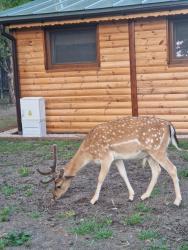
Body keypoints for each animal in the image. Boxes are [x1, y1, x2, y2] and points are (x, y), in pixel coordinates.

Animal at [37, 116, 185, 206]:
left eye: (58, 185)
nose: (54, 197)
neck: (89, 152)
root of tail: (170, 125)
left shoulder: (106, 157)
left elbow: (100, 178)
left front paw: (93, 199)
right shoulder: (117, 158)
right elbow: (123, 174)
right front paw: (131, 196)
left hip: (157, 150)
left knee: (172, 168)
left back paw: (177, 201)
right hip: (150, 154)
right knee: (157, 170)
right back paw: (145, 195)